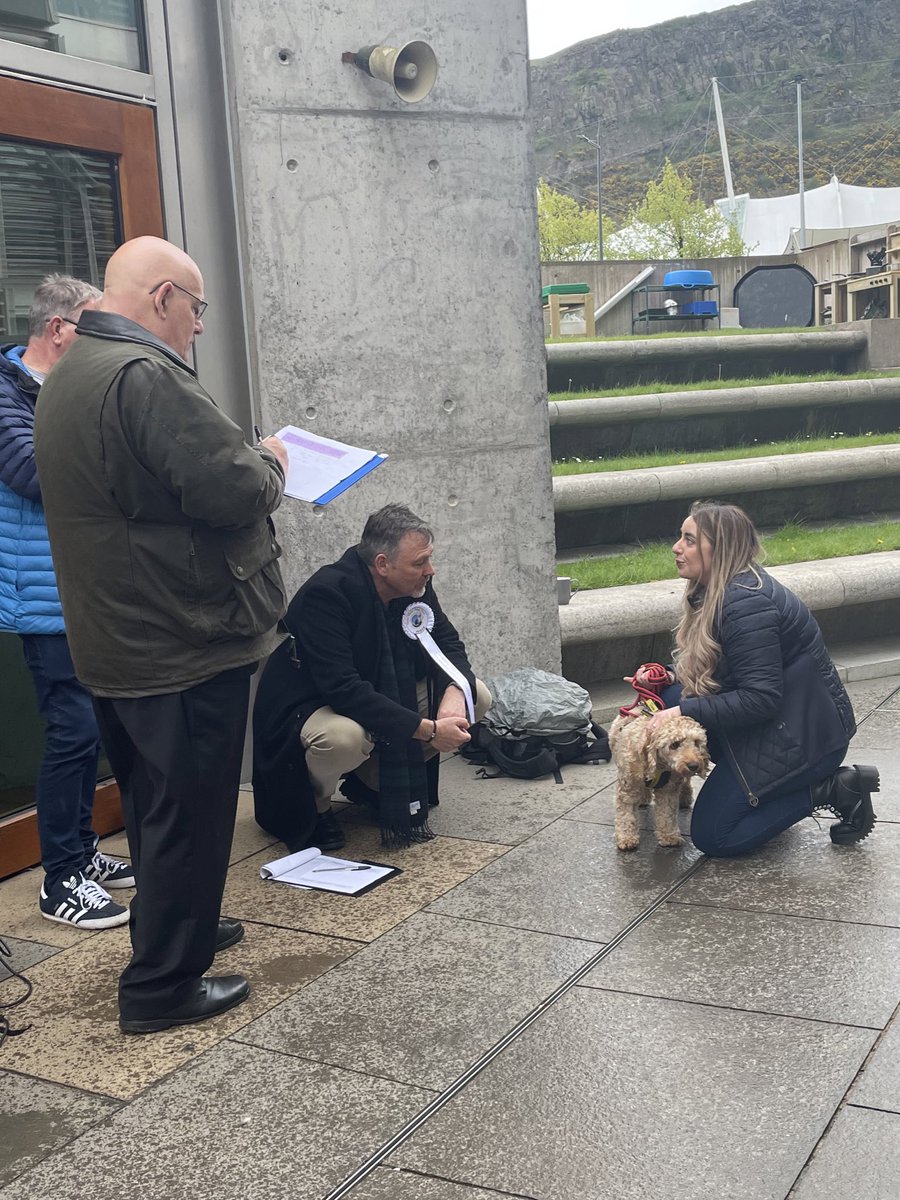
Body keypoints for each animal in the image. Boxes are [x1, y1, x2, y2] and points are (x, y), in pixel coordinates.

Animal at [614, 710, 710, 854]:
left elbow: (667, 812)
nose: (694, 765)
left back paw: (684, 798)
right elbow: (626, 814)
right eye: (674, 744)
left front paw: (668, 836)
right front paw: (627, 838)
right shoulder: (628, 787)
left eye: (696, 742)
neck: (660, 765)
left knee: (686, 782)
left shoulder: (668, 788)